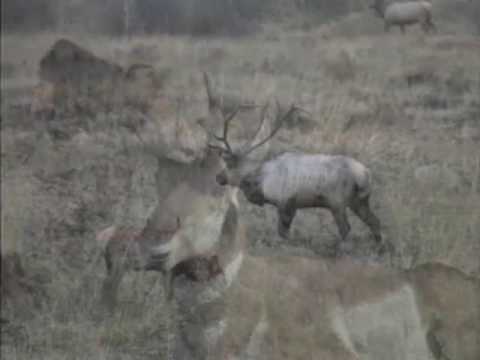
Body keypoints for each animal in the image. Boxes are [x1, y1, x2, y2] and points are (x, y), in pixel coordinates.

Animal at [202, 72, 382, 253]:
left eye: (229, 164)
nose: (218, 177)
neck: (261, 181)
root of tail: (365, 175)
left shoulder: (285, 203)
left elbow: (283, 232)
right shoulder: (293, 205)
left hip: (337, 202)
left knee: (346, 228)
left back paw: (342, 248)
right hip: (359, 201)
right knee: (375, 222)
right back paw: (379, 246)